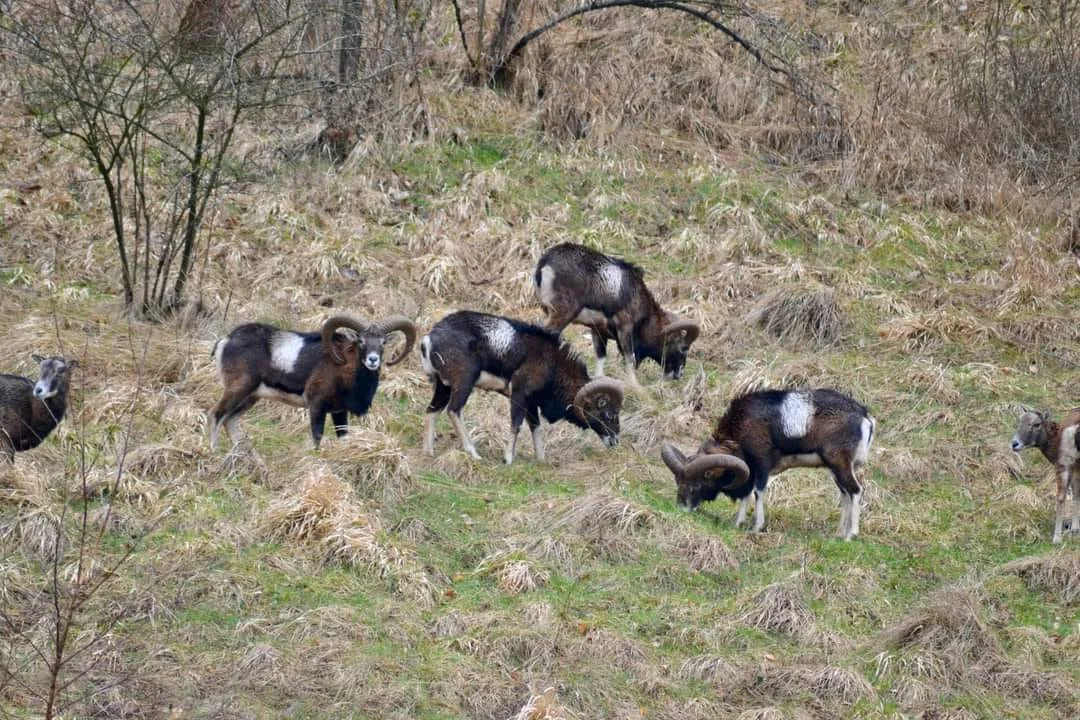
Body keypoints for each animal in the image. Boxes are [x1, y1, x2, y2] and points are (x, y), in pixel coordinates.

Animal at [208, 315, 414, 451]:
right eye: (361, 341)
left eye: (383, 342)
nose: (373, 360)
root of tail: (227, 341)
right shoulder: (317, 406)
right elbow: (317, 438)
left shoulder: (339, 412)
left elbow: (343, 438)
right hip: (238, 390)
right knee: (216, 415)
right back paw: (214, 451)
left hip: (251, 397)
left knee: (230, 420)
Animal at [656, 388, 876, 539]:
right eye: (678, 483)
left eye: (697, 484)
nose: (682, 508)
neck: (742, 426)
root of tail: (865, 418)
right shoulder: (750, 469)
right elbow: (746, 494)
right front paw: (737, 523)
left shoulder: (761, 464)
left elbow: (757, 492)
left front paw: (757, 527)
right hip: (836, 470)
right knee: (846, 495)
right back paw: (838, 534)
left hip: (840, 464)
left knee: (856, 491)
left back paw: (850, 535)